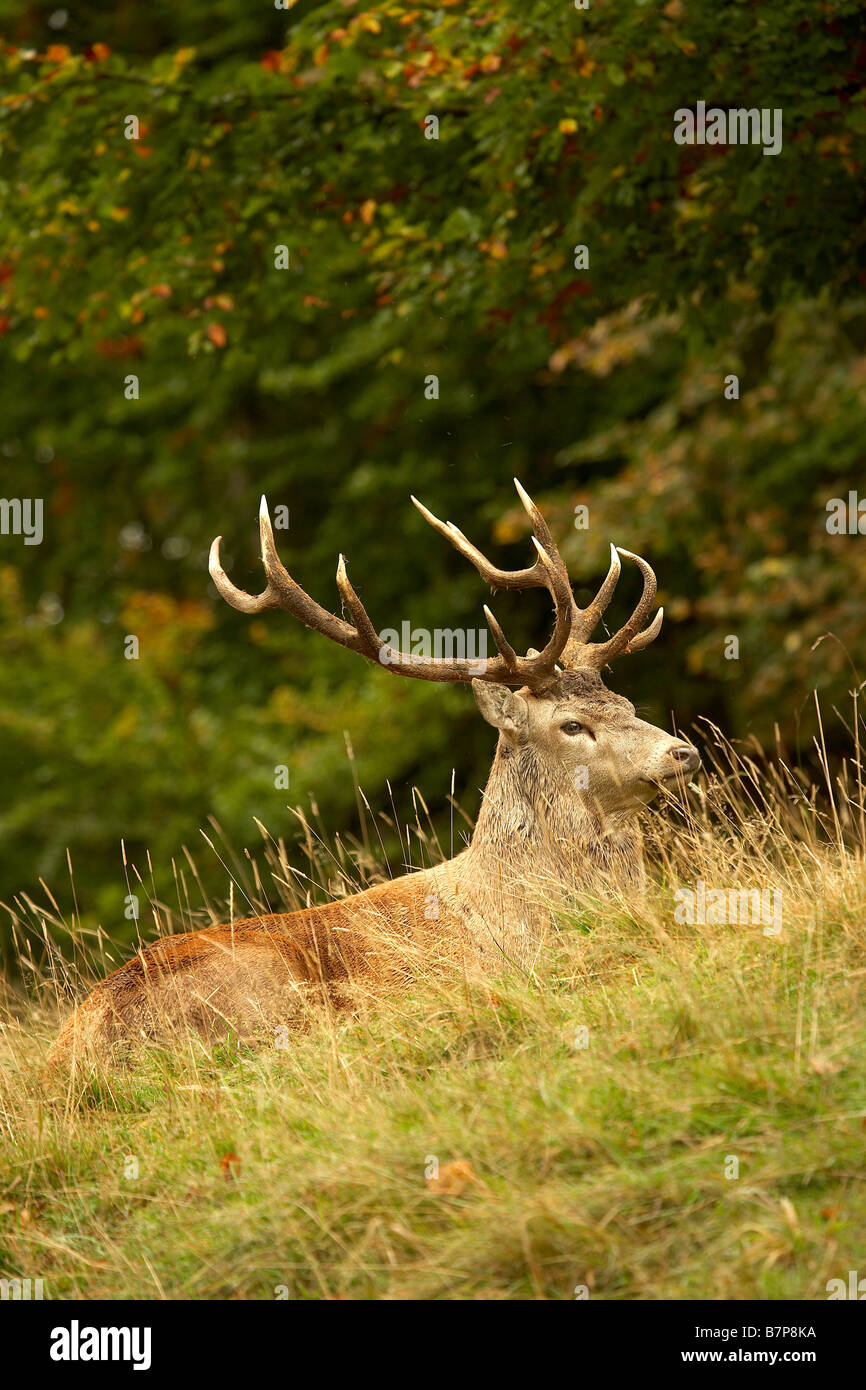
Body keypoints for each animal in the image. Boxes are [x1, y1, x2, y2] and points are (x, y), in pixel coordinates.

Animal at [48, 481, 699, 1068]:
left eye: (627, 704)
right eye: (571, 725)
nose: (682, 752)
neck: (520, 914)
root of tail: (67, 1062)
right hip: (262, 992)